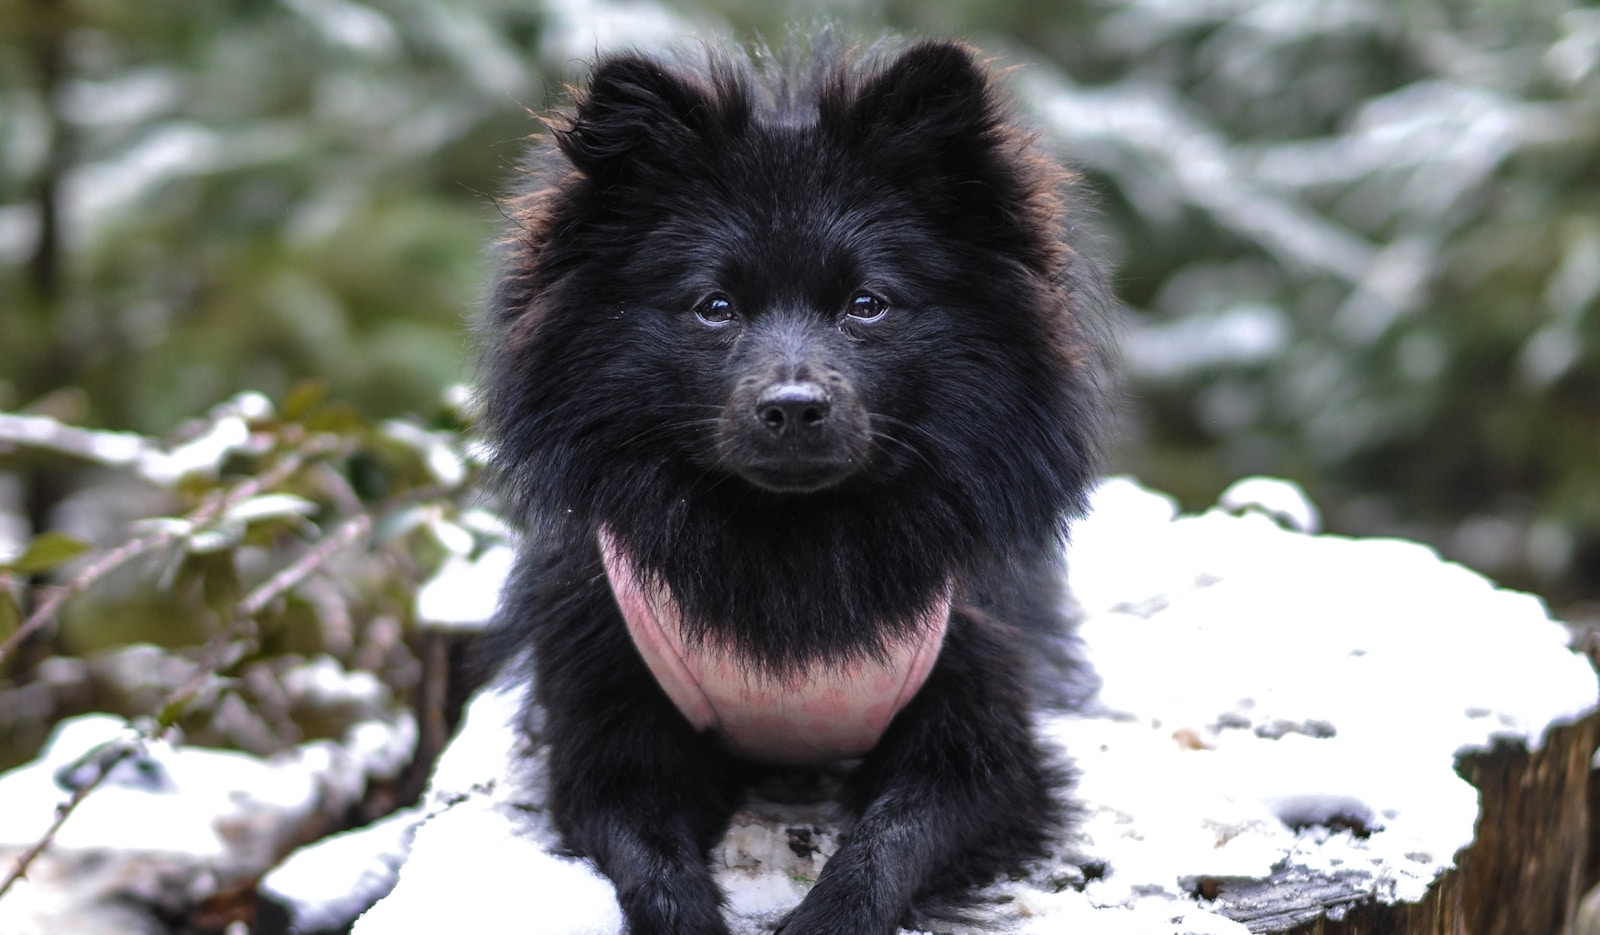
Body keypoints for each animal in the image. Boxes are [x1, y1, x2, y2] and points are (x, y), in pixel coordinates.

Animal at [476, 36, 1113, 935]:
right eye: (714, 306)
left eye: (867, 304)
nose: (793, 404)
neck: (790, 532)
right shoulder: (609, 717)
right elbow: (644, 847)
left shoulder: (978, 728)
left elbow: (895, 834)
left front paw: (830, 914)